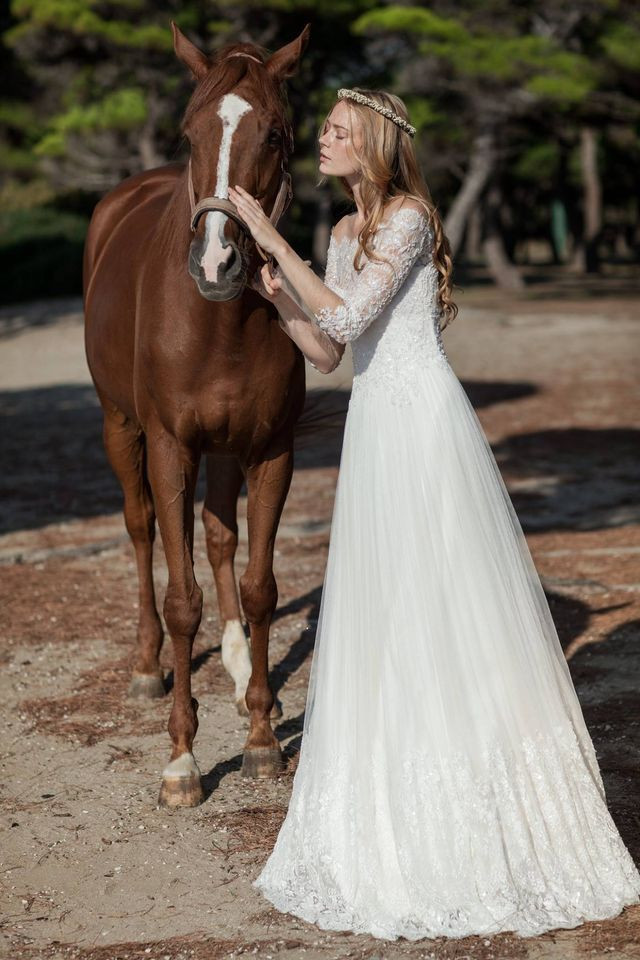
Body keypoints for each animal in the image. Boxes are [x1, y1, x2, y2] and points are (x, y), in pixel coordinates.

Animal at [82, 20, 312, 804]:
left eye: (275, 133)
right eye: (190, 133)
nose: (217, 264)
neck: (220, 323)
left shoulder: (272, 449)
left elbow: (259, 586)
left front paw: (261, 737)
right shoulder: (169, 445)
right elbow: (183, 600)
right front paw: (181, 760)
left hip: (226, 449)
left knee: (217, 538)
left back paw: (245, 676)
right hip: (123, 430)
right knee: (144, 529)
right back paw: (148, 666)